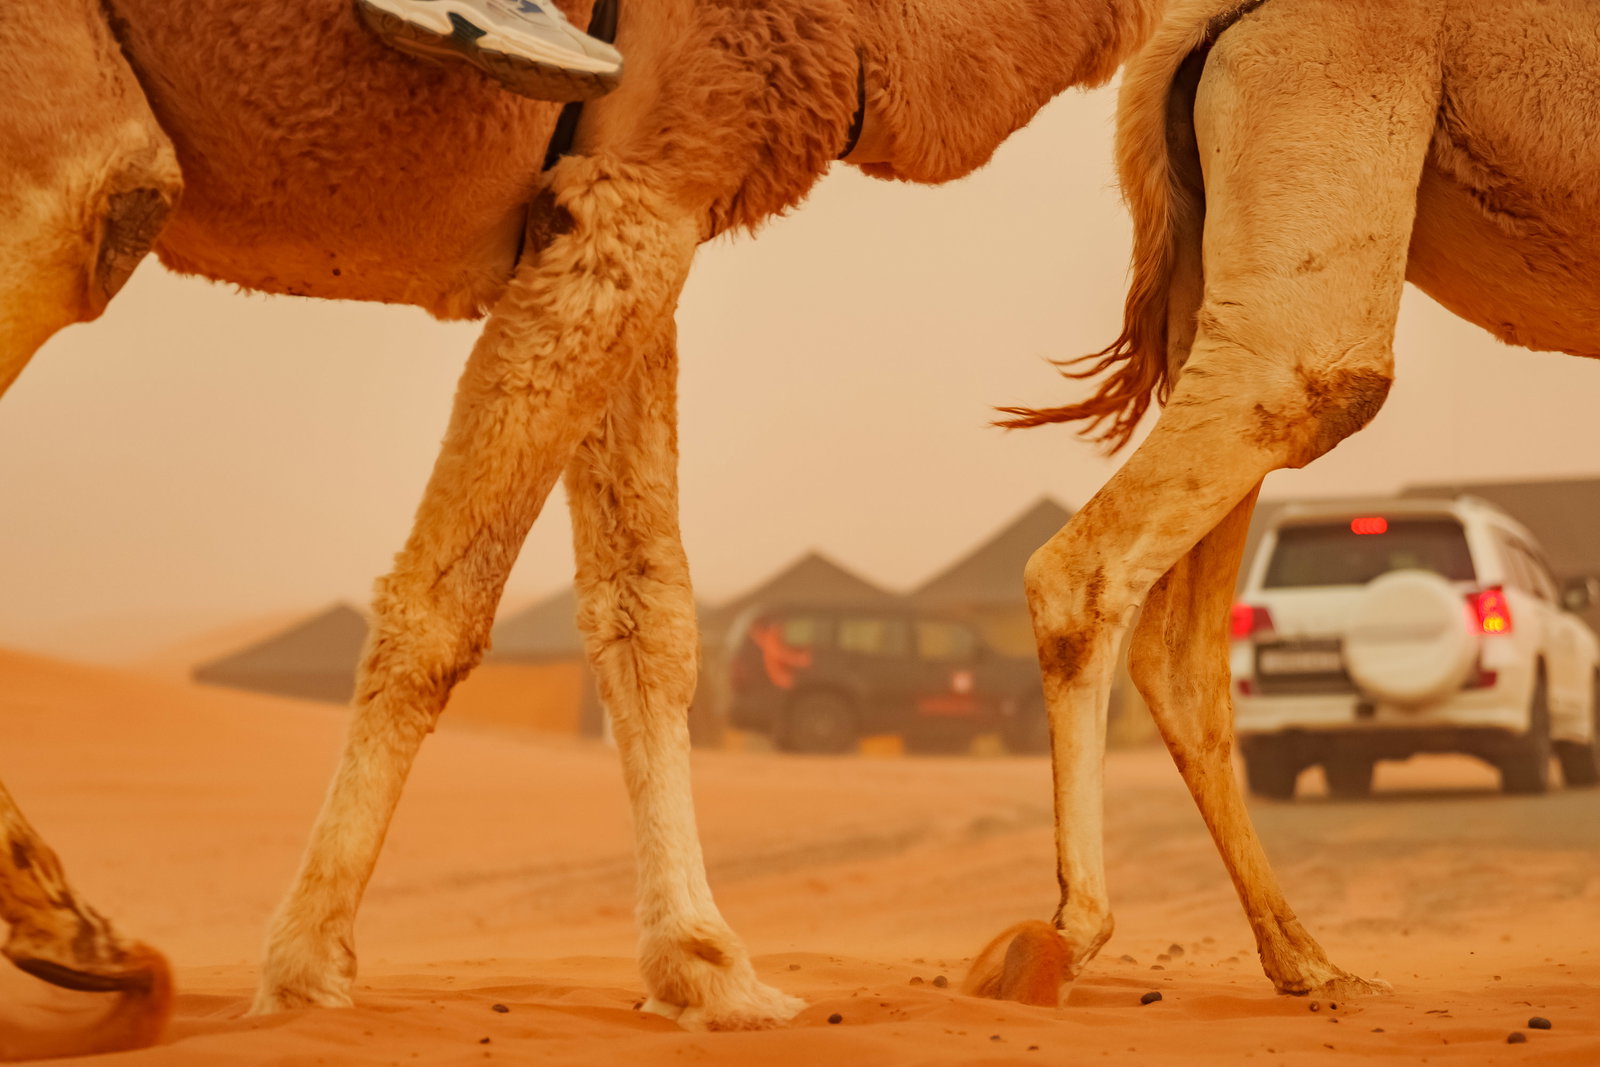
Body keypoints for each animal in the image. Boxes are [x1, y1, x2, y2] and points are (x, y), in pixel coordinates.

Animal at [0, 0, 1159, 1050]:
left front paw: (705, 968)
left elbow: (649, 608)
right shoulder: (642, 179)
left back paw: (74, 931)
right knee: (98, 196)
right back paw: (71, 927)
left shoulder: (631, 202)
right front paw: (304, 967)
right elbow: (446, 602)